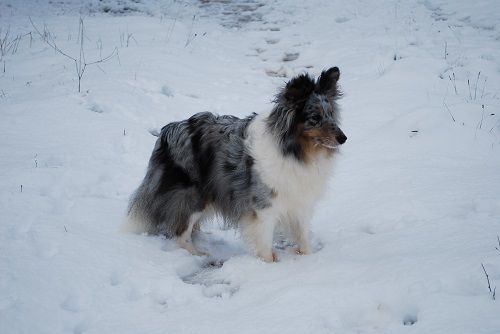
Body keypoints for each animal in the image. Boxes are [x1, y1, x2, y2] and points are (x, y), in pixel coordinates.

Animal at [125, 66, 346, 262]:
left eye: (330, 115)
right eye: (315, 118)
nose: (343, 138)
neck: (296, 151)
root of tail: (167, 131)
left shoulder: (300, 202)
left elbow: (302, 236)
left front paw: (308, 260)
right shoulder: (264, 206)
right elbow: (264, 243)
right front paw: (268, 264)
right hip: (192, 196)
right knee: (180, 232)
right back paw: (198, 253)